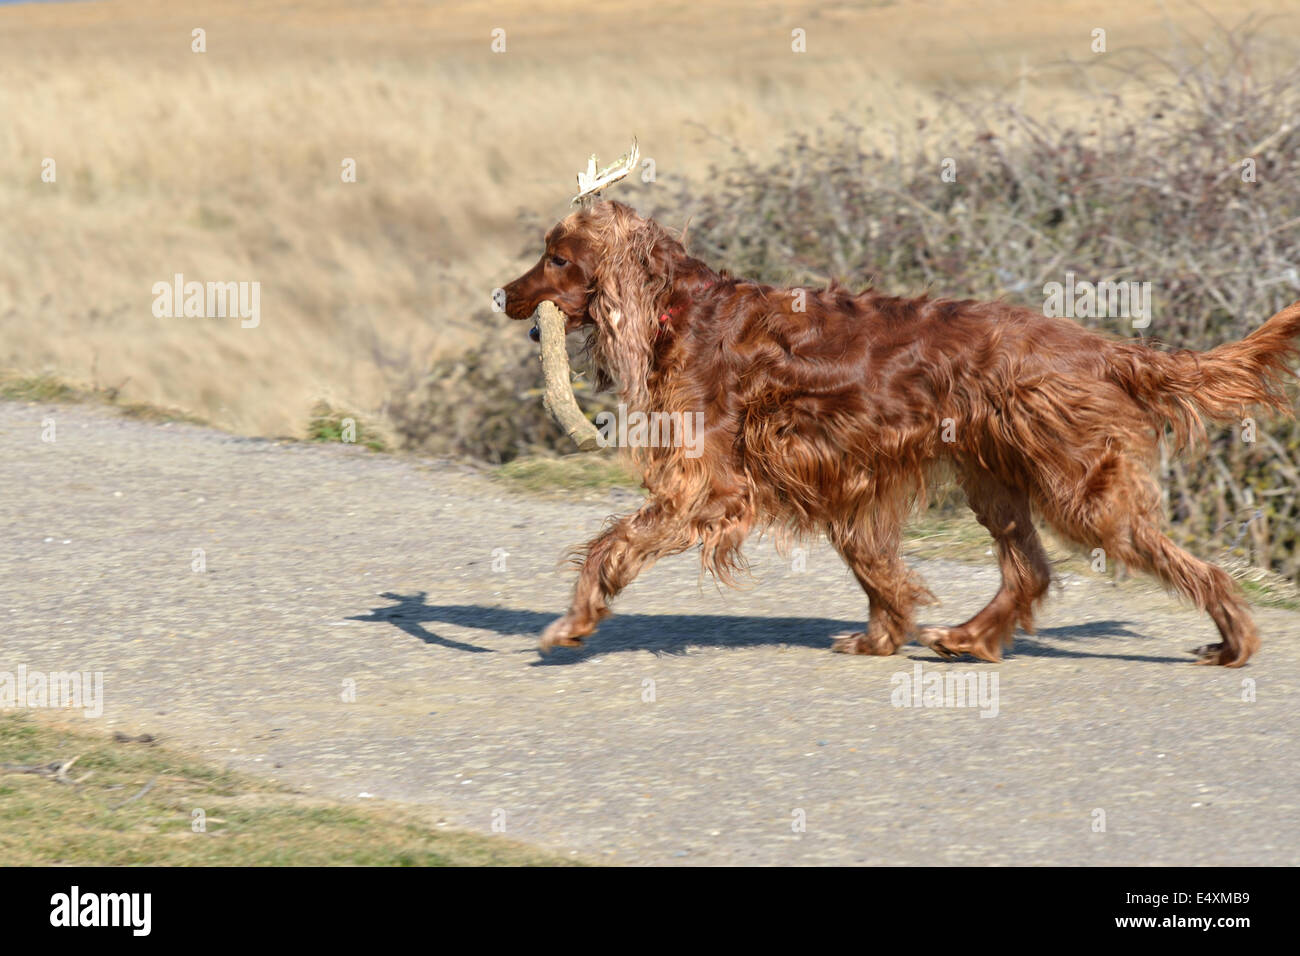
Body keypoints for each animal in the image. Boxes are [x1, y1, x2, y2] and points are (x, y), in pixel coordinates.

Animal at [499, 200, 1300, 665]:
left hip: (1084, 493)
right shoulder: (840, 479)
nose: (502, 295)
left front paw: (574, 622)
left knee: (1190, 567)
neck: (676, 307)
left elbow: (613, 544)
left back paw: (1235, 640)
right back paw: (970, 639)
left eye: (557, 257)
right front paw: (884, 634)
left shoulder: (710, 483)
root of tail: (1099, 348)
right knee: (1029, 571)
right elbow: (875, 566)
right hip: (995, 479)